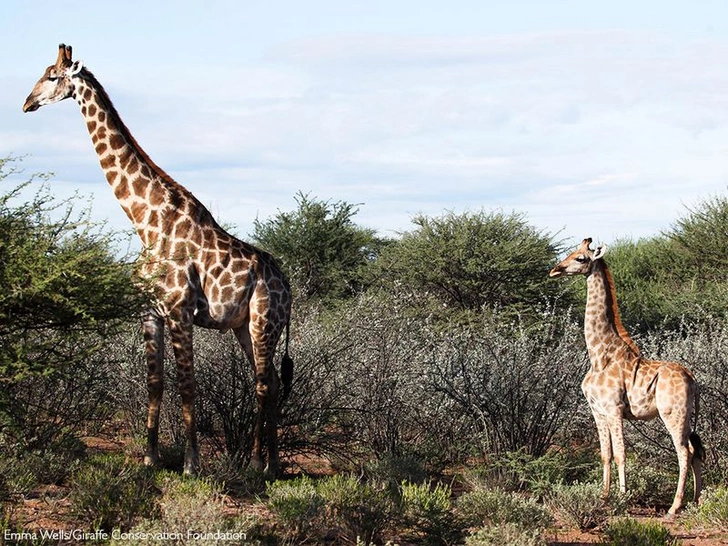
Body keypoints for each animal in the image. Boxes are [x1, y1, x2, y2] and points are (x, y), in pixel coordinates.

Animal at [24, 44, 292, 474]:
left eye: (51, 76)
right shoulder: (149, 312)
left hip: (264, 321)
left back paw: (257, 463)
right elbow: (155, 383)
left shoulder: (180, 310)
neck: (145, 223)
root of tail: (288, 286)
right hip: (244, 326)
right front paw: (149, 457)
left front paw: (191, 463)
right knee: (268, 383)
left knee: (265, 384)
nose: (26, 103)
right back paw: (271, 463)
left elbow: (187, 384)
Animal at [552, 238, 700, 516]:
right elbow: (605, 454)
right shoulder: (597, 411)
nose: (555, 270)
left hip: (672, 413)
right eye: (571, 253)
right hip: (684, 416)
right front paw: (603, 497)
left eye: (580, 258)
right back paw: (696, 501)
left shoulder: (614, 408)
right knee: (696, 449)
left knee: (684, 452)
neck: (599, 354)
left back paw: (674, 507)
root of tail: (692, 378)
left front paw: (621, 498)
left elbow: (621, 453)